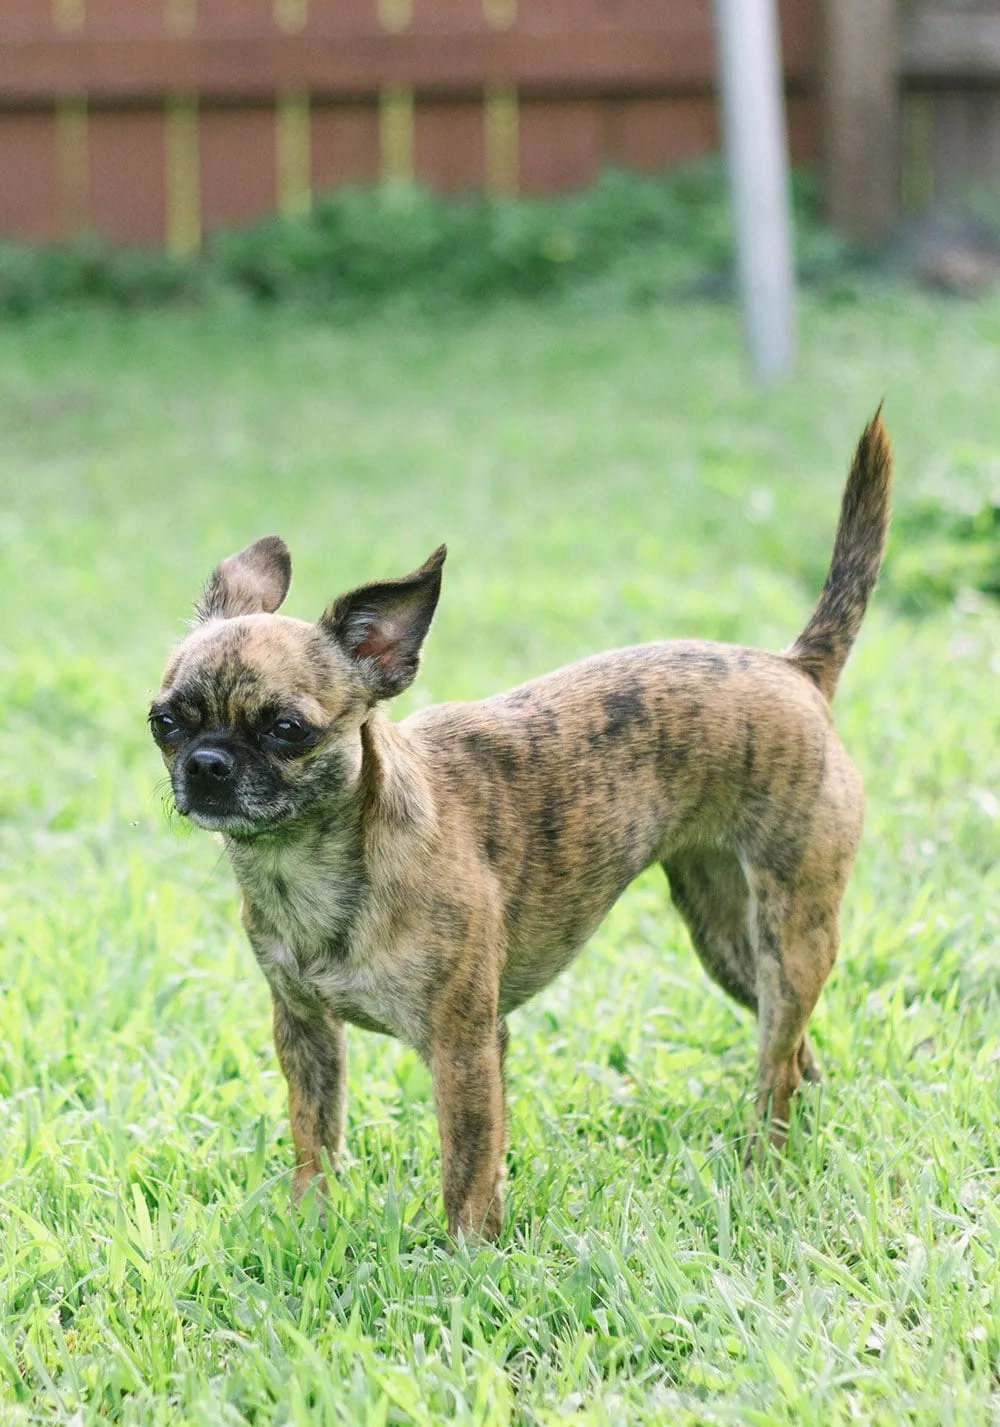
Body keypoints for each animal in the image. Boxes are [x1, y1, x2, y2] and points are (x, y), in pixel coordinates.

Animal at [151, 410, 895, 1238]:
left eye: (286, 729)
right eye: (165, 723)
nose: (208, 763)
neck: (312, 869)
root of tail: (795, 666)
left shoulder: (466, 1045)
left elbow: (467, 1168)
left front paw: (467, 1256)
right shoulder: (306, 1031)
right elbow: (317, 1141)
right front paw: (309, 1229)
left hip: (791, 936)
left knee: (776, 1066)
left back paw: (764, 1163)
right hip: (730, 941)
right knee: (789, 1050)